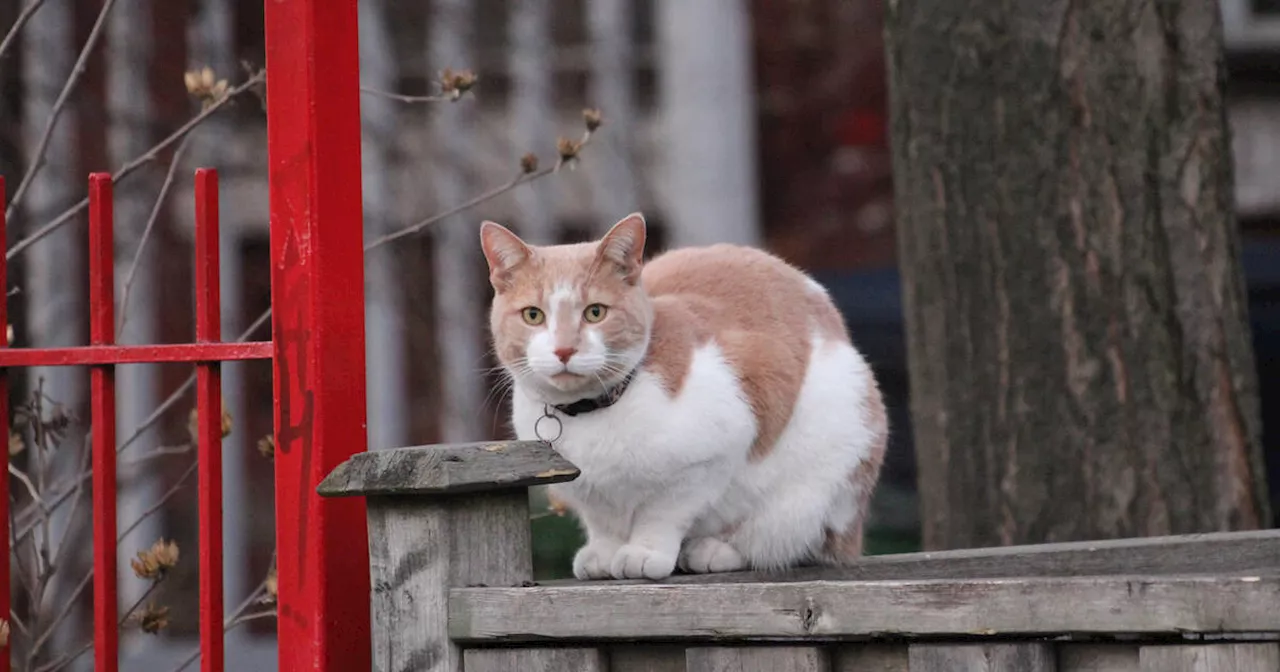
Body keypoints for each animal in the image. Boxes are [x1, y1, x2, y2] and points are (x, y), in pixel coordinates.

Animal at [481, 212, 890, 578]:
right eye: (533, 316)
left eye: (595, 312)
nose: (564, 350)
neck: (592, 412)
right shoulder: (588, 491)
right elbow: (603, 520)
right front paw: (605, 552)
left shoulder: (714, 452)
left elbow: (664, 512)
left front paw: (644, 552)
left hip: (824, 476)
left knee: (782, 539)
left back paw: (713, 551)